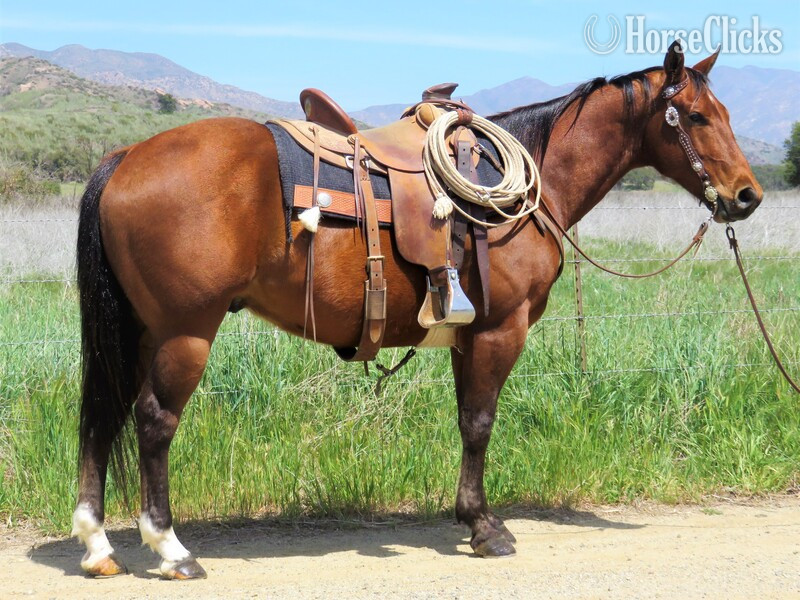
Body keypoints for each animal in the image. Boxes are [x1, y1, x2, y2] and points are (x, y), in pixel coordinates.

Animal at [72, 42, 761, 579]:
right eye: (695, 116)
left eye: (725, 112)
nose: (746, 196)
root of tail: (124, 158)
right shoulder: (500, 330)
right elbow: (480, 422)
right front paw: (485, 528)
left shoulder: (467, 335)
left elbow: (466, 421)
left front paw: (470, 516)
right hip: (184, 332)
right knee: (153, 422)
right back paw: (170, 548)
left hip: (137, 332)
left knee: (102, 415)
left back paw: (99, 545)